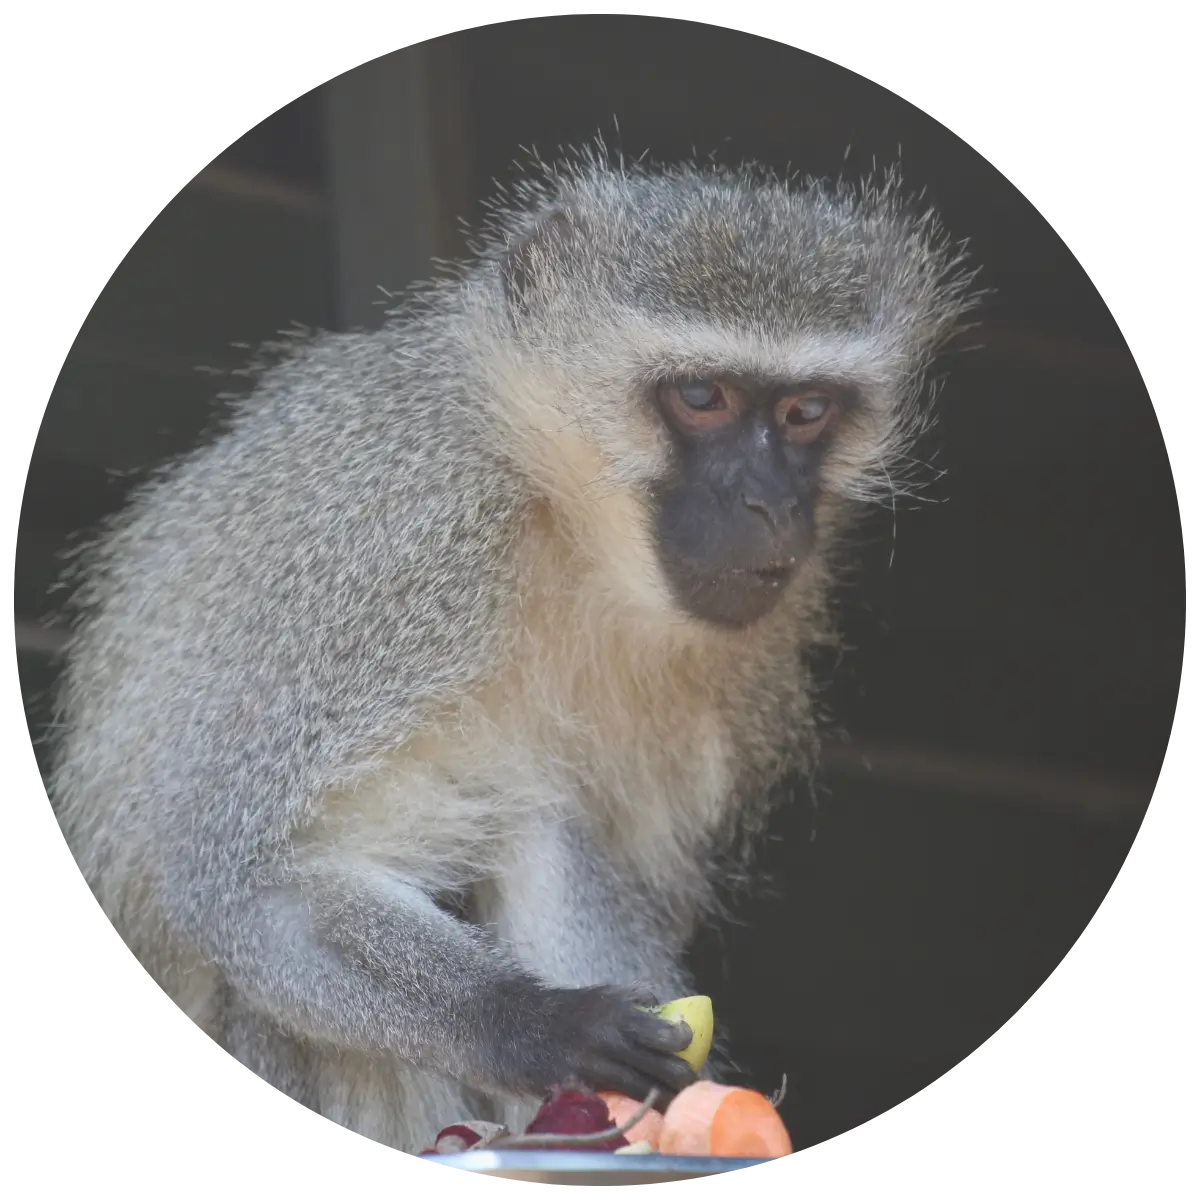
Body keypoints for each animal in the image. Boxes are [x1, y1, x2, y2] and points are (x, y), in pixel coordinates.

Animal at [47, 146, 980, 1154]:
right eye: (702, 398)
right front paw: (539, 1025)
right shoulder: (403, 543)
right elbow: (233, 878)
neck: (563, 517)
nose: (771, 504)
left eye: (808, 411)